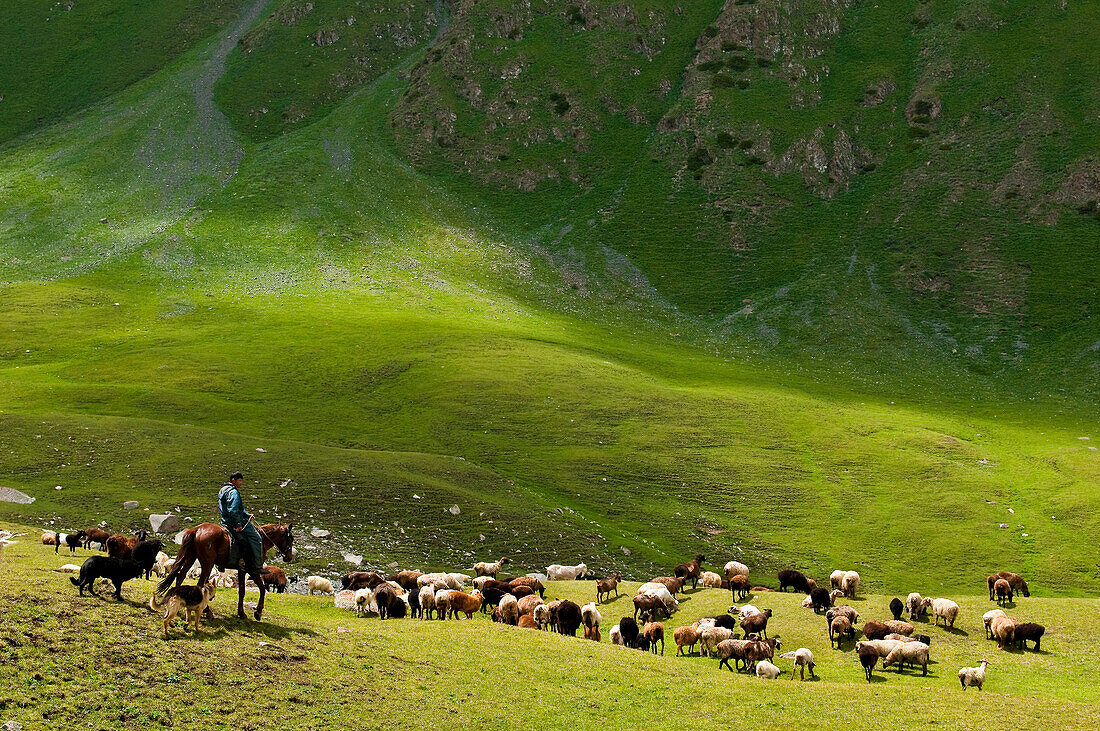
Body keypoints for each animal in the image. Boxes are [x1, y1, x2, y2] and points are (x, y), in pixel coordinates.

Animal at [157, 521, 292, 619]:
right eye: (291, 539)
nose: (289, 558)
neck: (262, 539)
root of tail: (196, 530)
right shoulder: (253, 570)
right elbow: (262, 589)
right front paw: (258, 612)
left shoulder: (242, 570)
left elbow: (242, 591)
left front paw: (241, 613)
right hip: (208, 564)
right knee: (200, 584)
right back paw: (207, 611)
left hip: (190, 558)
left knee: (181, 575)